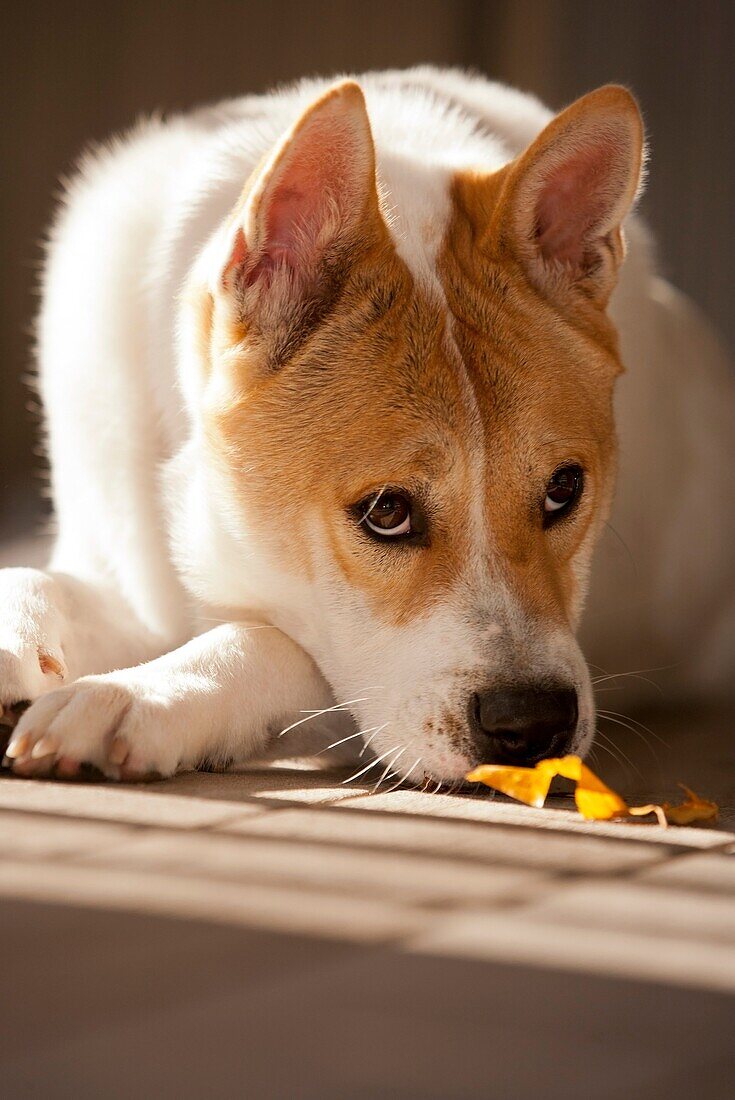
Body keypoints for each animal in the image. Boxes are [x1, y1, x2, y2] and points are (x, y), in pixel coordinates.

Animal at [1, 66, 735, 783]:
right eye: (386, 511)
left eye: (564, 490)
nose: (533, 725)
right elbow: (36, 577)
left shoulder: (354, 692)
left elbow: (274, 643)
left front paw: (132, 695)